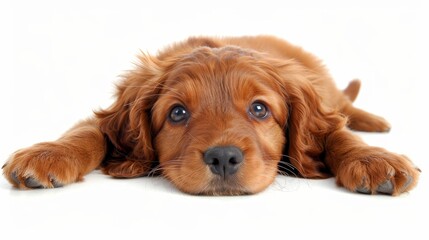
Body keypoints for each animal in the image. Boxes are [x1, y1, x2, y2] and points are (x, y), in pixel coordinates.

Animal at [1, 36, 420, 196]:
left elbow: (338, 133)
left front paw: (374, 160)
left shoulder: (324, 114)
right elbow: (88, 132)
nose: (222, 158)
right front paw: (47, 155)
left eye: (259, 109)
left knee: (345, 109)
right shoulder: (107, 117)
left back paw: (377, 123)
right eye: (177, 113)